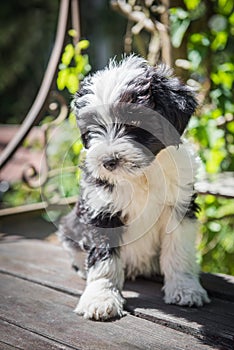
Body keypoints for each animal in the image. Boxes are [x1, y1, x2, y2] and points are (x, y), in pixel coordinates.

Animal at [58, 54, 210, 320]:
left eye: (136, 121)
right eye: (93, 127)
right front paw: (101, 298)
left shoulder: (180, 205)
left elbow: (179, 251)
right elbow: (103, 258)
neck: (141, 176)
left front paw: (185, 289)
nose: (108, 161)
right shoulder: (102, 209)